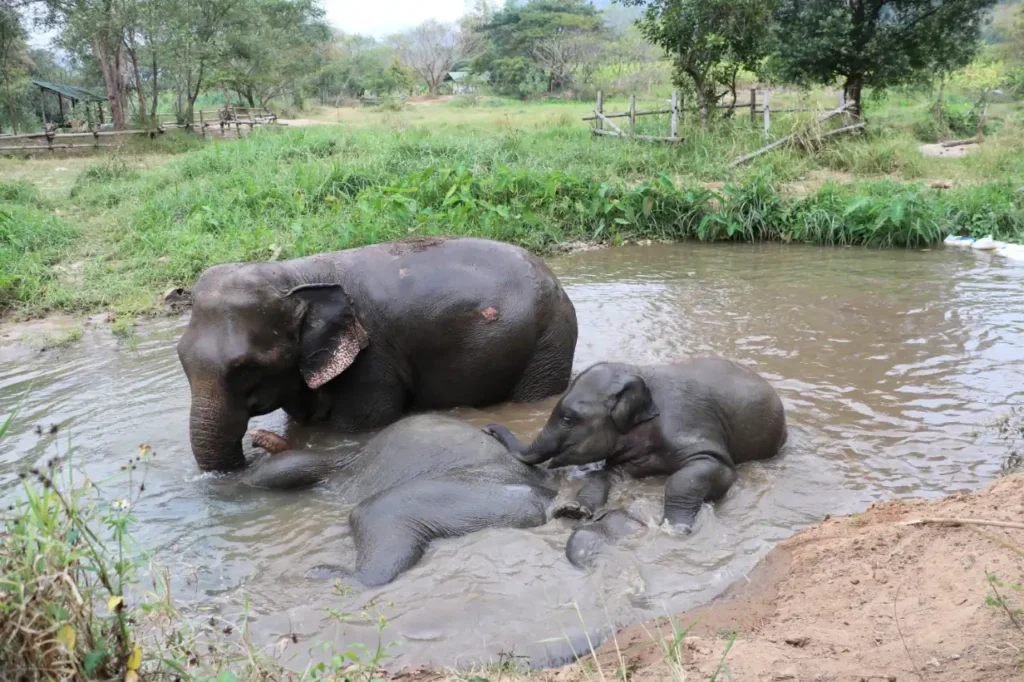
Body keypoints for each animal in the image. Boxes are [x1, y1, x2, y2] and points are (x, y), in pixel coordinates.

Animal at [177, 236, 578, 472]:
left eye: (247, 368)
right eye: (180, 358)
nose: (254, 443)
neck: (294, 274)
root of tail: (554, 276)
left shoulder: (371, 361)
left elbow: (359, 429)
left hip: (548, 343)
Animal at [484, 357, 787, 541]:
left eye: (568, 419)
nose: (488, 428)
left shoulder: (687, 424)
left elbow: (704, 473)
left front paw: (675, 528)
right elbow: (605, 476)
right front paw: (574, 511)